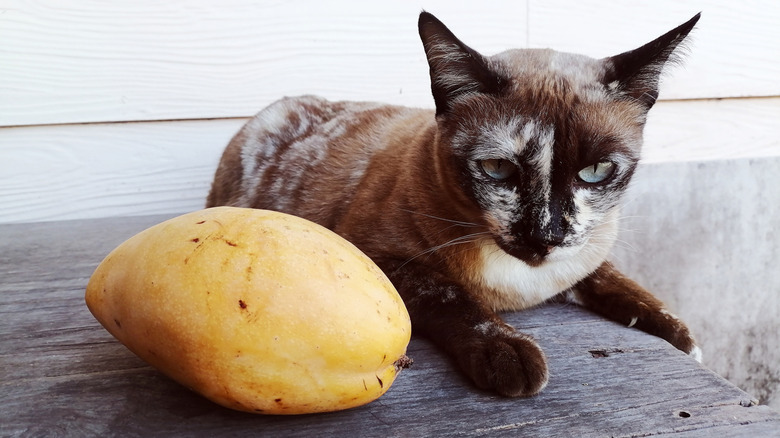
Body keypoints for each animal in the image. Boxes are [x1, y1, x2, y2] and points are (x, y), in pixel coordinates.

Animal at [206, 12, 700, 398]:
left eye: (595, 171)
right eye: (498, 168)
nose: (545, 234)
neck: (522, 285)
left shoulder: (584, 253)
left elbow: (617, 281)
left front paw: (680, 337)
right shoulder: (380, 260)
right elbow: (450, 295)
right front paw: (509, 352)